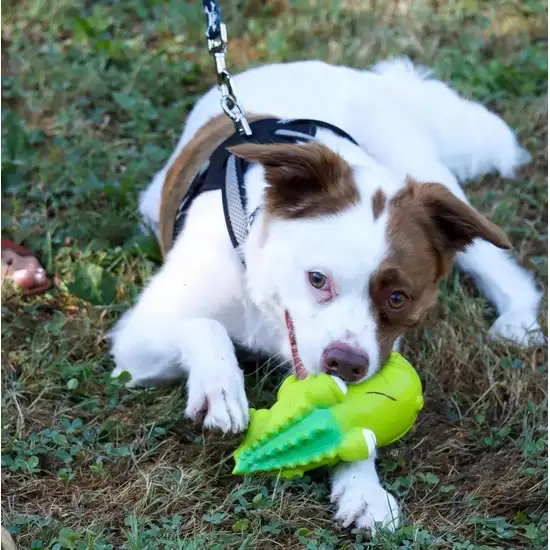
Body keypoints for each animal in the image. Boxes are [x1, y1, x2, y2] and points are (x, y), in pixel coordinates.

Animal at [109, 58, 548, 532]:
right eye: (317, 279)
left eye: (398, 298)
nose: (346, 364)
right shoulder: (136, 339)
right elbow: (204, 326)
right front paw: (220, 389)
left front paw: (362, 489)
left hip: (434, 180)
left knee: (497, 263)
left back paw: (518, 320)